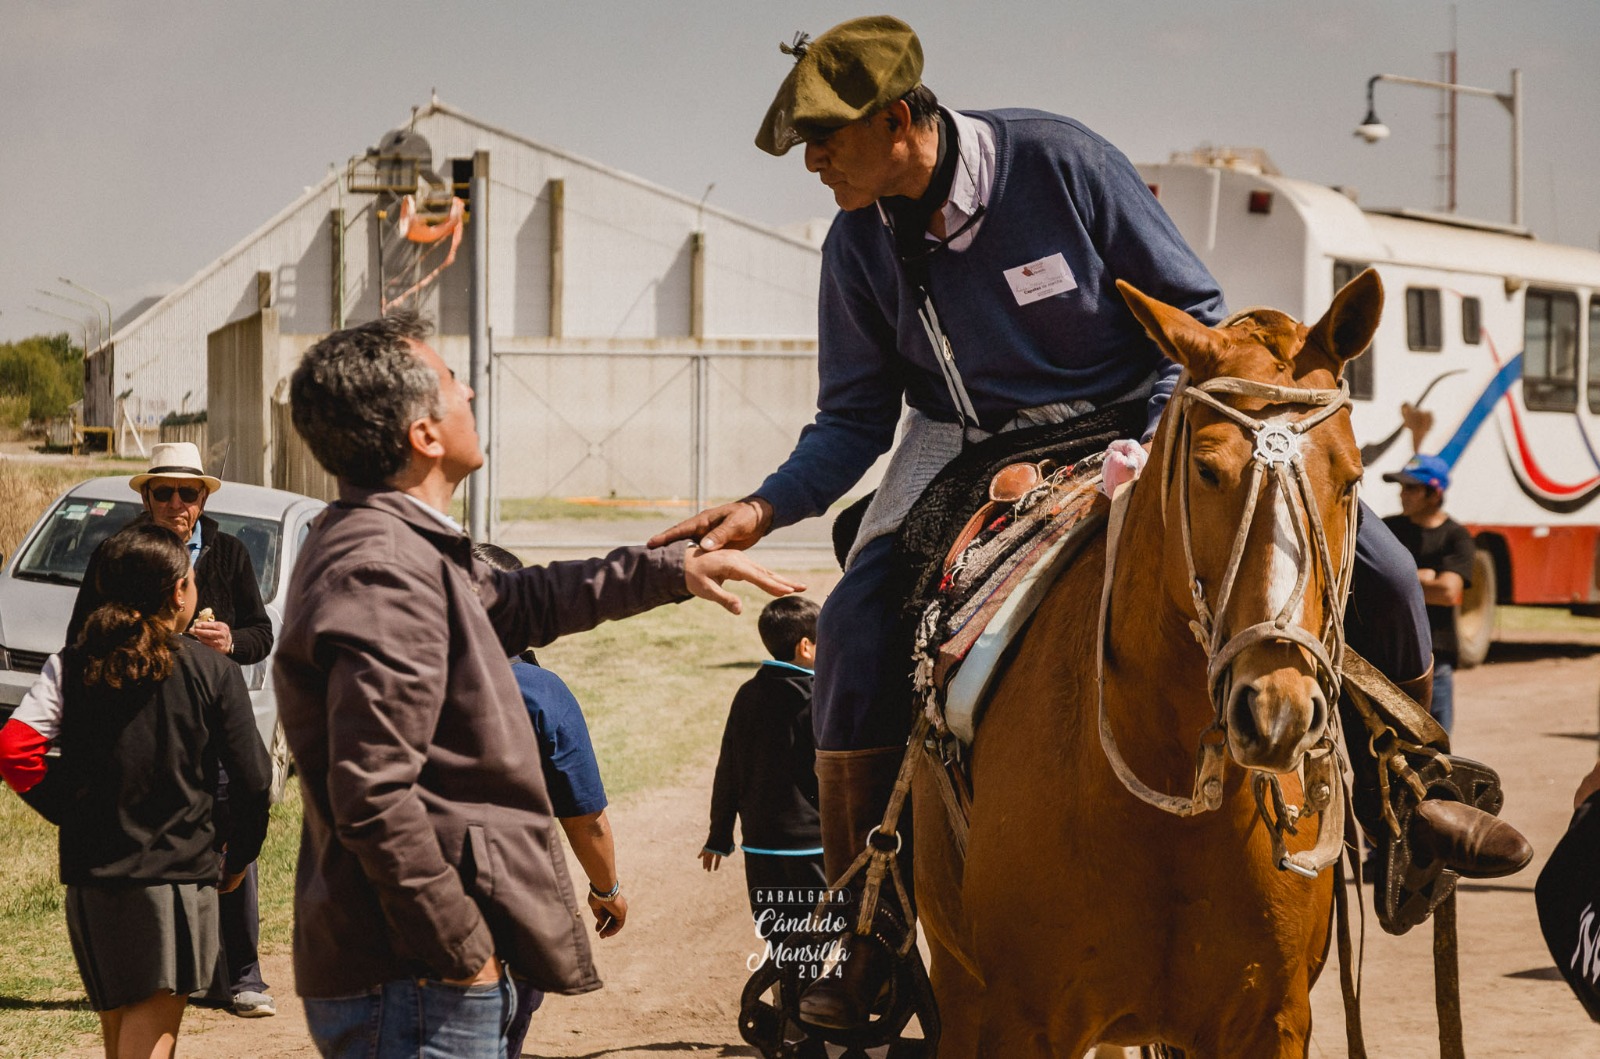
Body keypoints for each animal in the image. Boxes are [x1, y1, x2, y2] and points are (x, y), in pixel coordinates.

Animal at [921, 270, 1382, 1055]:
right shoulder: (1020, 1020)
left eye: (1349, 477)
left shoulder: (1271, 1021)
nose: (1277, 710)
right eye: (1206, 470)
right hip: (961, 987)